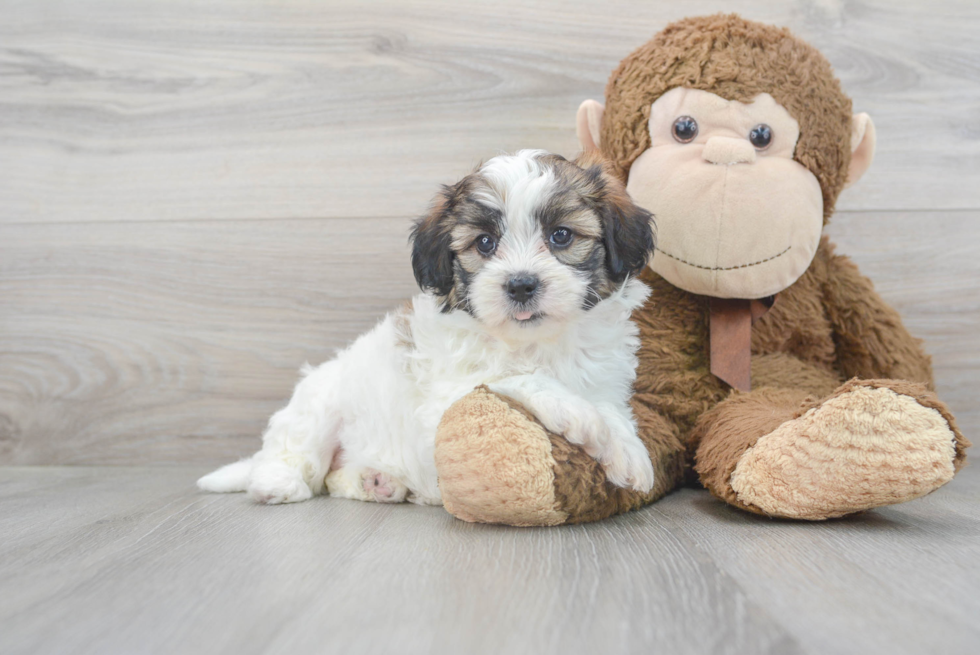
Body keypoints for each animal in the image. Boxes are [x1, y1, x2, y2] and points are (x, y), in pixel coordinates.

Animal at [197, 150, 660, 508]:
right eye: (485, 243)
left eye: (561, 235)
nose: (521, 284)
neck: (535, 342)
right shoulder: (444, 403)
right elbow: (517, 377)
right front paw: (577, 414)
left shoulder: (603, 378)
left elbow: (612, 411)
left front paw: (628, 452)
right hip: (320, 403)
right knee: (297, 455)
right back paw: (277, 483)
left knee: (332, 479)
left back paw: (377, 482)